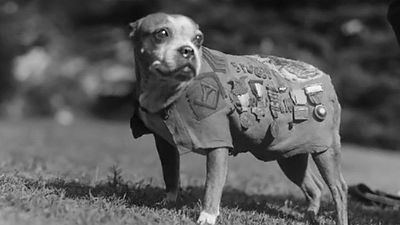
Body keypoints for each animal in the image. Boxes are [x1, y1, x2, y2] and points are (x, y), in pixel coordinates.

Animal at [129, 12, 346, 225]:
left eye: (198, 39)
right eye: (162, 33)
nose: (188, 50)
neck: (167, 90)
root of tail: (324, 76)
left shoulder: (217, 144)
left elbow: (212, 185)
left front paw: (207, 216)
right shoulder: (164, 143)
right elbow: (171, 175)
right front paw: (169, 202)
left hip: (325, 151)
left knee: (339, 189)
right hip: (290, 155)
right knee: (314, 187)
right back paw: (310, 216)